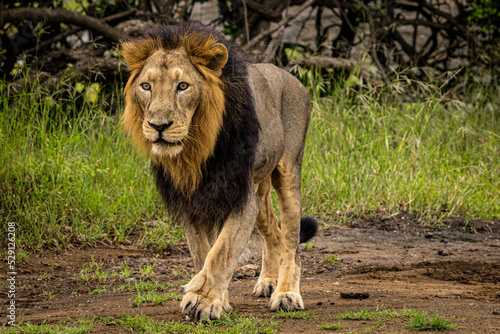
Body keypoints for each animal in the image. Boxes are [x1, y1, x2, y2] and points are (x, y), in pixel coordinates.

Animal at [120, 21, 316, 320]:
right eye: (146, 86)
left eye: (183, 86)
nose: (158, 125)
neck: (196, 149)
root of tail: (289, 75)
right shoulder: (192, 201)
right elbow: (203, 252)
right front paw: (214, 299)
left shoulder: (240, 198)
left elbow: (221, 251)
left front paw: (204, 300)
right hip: (259, 191)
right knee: (274, 232)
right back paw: (268, 281)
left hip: (288, 172)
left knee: (292, 241)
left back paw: (286, 294)